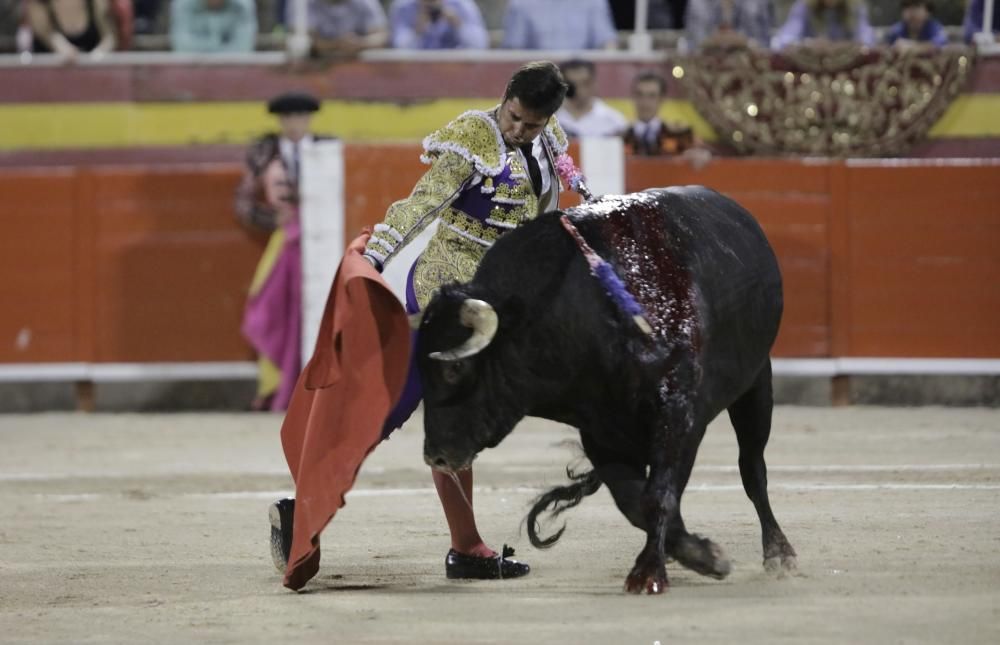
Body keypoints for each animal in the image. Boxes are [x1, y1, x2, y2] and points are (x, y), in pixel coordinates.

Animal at [414, 186, 796, 592]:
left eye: (455, 367)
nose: (436, 456)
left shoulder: (678, 416)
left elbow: (659, 496)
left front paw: (650, 573)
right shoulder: (600, 434)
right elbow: (634, 501)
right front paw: (700, 555)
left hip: (757, 381)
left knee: (752, 469)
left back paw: (779, 553)